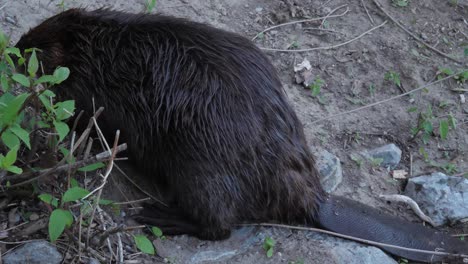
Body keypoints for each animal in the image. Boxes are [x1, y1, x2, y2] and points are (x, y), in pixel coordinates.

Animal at [15, 8, 468, 262]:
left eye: (35, 48)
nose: (17, 44)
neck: (102, 48)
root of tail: (315, 201)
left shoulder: (92, 91)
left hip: (200, 171)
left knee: (219, 226)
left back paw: (160, 215)